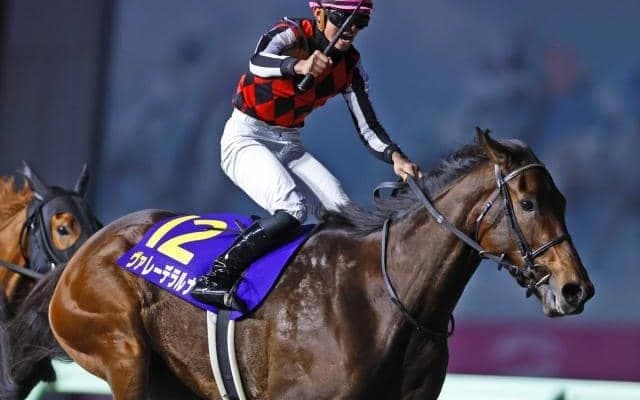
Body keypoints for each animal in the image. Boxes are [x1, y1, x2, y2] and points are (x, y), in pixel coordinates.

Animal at [44, 129, 593, 400]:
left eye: (564, 200)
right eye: (528, 204)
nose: (575, 289)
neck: (387, 300)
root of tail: (92, 245)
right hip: (123, 352)